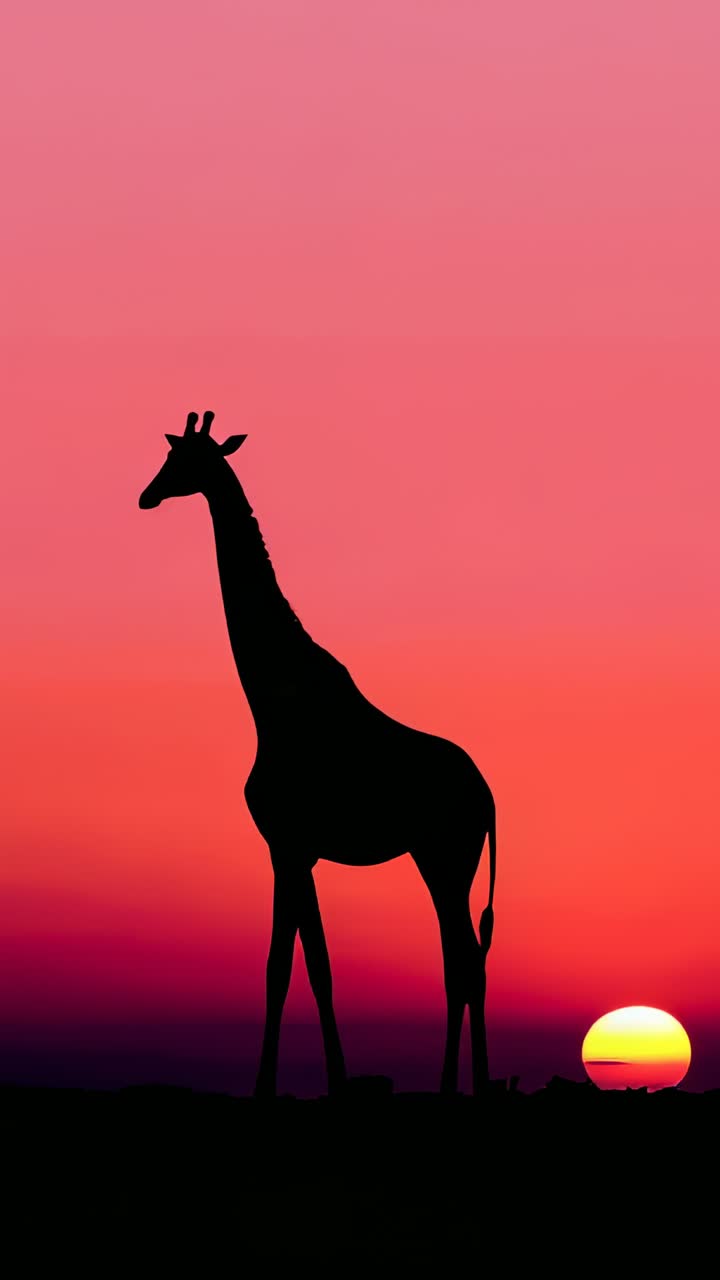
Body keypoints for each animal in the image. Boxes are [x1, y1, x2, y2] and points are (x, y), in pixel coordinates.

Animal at [139, 410, 497, 1097]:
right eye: (170, 457)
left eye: (187, 463)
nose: (146, 495)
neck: (270, 698)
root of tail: (489, 798)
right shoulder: (290, 848)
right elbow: (296, 966)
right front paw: (301, 1084)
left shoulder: (289, 842)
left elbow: (299, 966)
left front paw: (301, 1085)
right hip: (444, 860)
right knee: (463, 960)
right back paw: (461, 1086)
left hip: (445, 856)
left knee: (465, 963)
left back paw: (468, 1088)